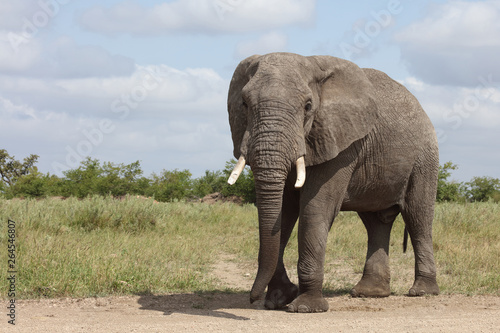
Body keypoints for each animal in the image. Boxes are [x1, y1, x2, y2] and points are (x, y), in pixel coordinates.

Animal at [226, 51, 438, 312]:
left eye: (308, 106)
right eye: (244, 104)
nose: (252, 299)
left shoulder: (341, 142)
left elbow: (315, 208)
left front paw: (304, 307)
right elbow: (283, 213)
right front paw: (279, 300)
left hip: (424, 158)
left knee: (418, 217)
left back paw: (422, 292)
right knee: (376, 222)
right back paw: (370, 293)